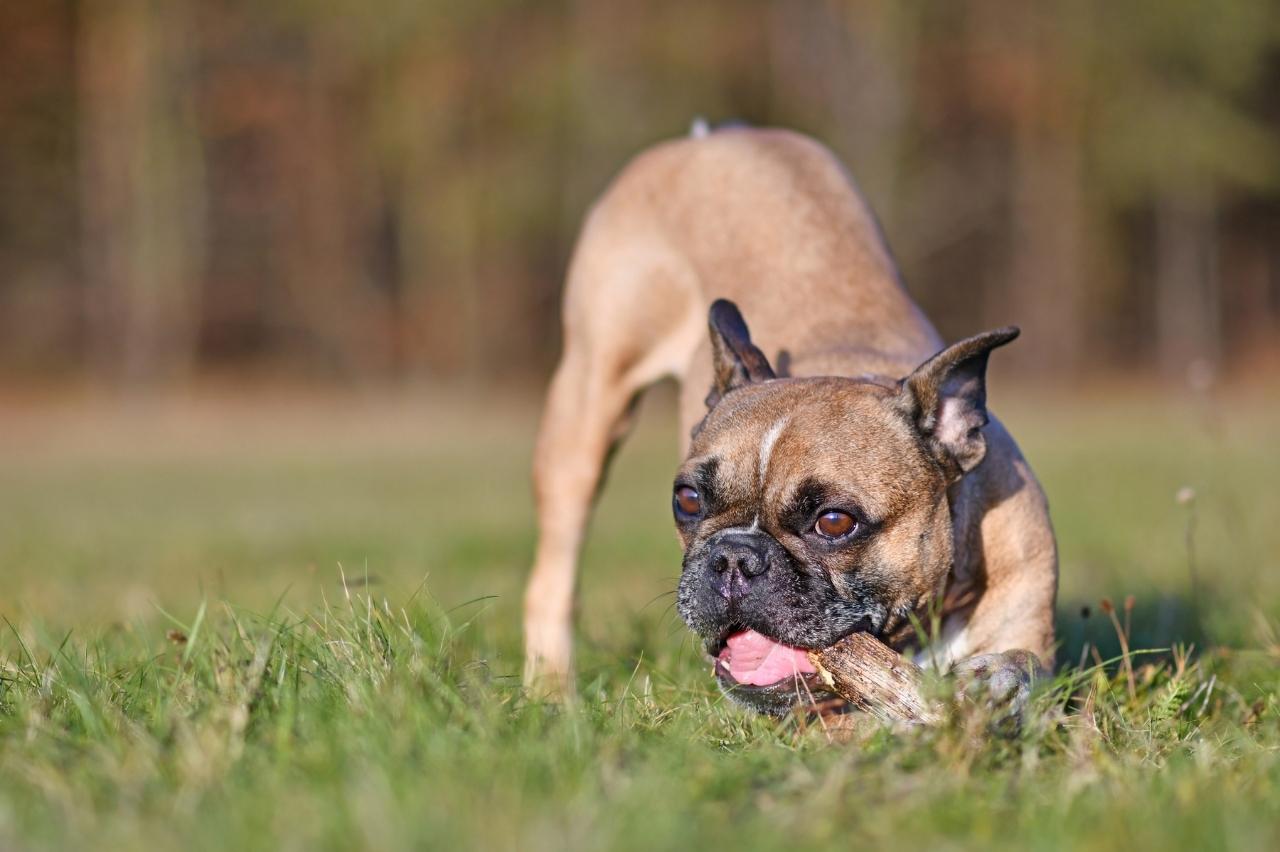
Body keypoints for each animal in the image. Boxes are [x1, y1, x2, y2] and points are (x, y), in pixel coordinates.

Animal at [522, 122, 1059, 711]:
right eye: (687, 500)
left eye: (834, 522)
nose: (733, 557)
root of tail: (712, 134)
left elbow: (1024, 663)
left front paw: (996, 679)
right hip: (587, 405)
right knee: (554, 572)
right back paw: (550, 691)